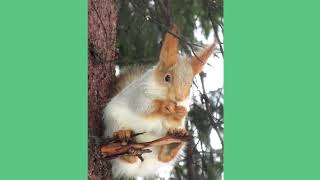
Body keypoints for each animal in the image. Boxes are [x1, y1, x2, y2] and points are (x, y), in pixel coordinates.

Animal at [104, 24, 216, 178]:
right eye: (167, 78)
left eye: (190, 85)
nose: (179, 98)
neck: (164, 95)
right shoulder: (139, 94)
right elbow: (145, 107)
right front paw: (165, 106)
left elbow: (173, 121)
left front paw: (180, 113)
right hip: (113, 122)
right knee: (123, 155)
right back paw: (123, 136)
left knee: (163, 158)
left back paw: (172, 145)